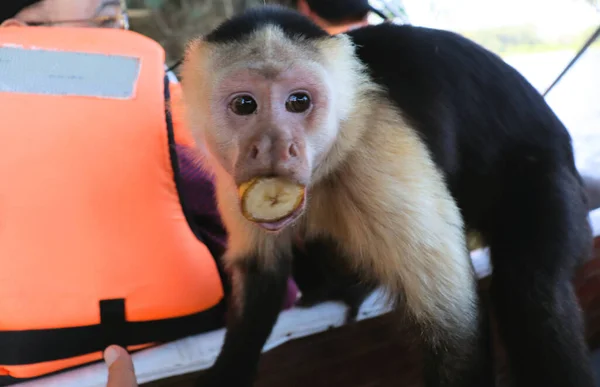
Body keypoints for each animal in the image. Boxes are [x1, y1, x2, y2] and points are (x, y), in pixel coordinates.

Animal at [180, 5, 592, 387]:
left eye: (299, 102)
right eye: (244, 104)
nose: (274, 147)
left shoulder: (379, 149)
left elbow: (455, 329)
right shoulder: (226, 173)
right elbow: (260, 272)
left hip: (545, 173)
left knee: (533, 291)